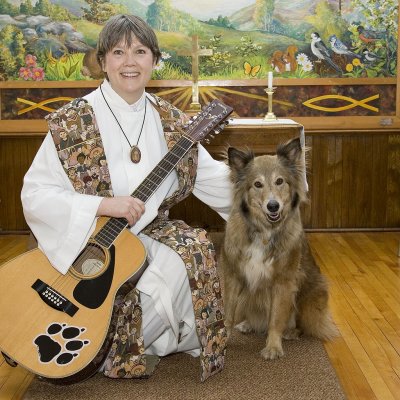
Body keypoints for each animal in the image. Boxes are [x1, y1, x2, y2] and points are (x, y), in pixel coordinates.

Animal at [220, 138, 340, 360]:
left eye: (279, 181)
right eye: (257, 184)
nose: (273, 206)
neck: (264, 231)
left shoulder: (283, 282)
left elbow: (276, 319)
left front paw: (273, 346)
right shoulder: (233, 276)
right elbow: (228, 313)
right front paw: (223, 337)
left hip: (311, 295)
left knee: (303, 324)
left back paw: (291, 331)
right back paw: (248, 323)